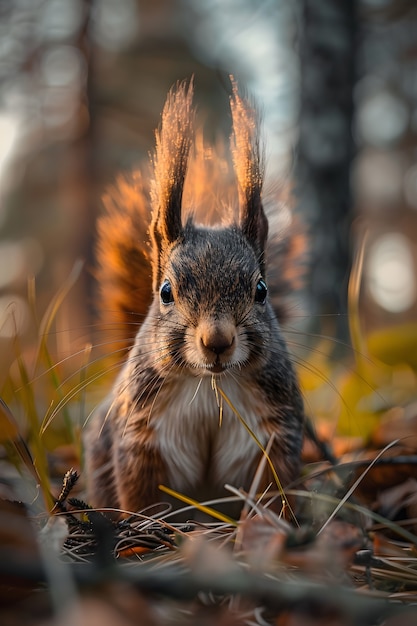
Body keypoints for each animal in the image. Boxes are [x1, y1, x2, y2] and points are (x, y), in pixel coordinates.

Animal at [85, 79, 306, 516]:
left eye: (261, 290)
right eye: (166, 292)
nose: (217, 342)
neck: (210, 387)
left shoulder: (276, 432)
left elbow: (275, 492)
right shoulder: (141, 436)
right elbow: (142, 498)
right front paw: (145, 530)